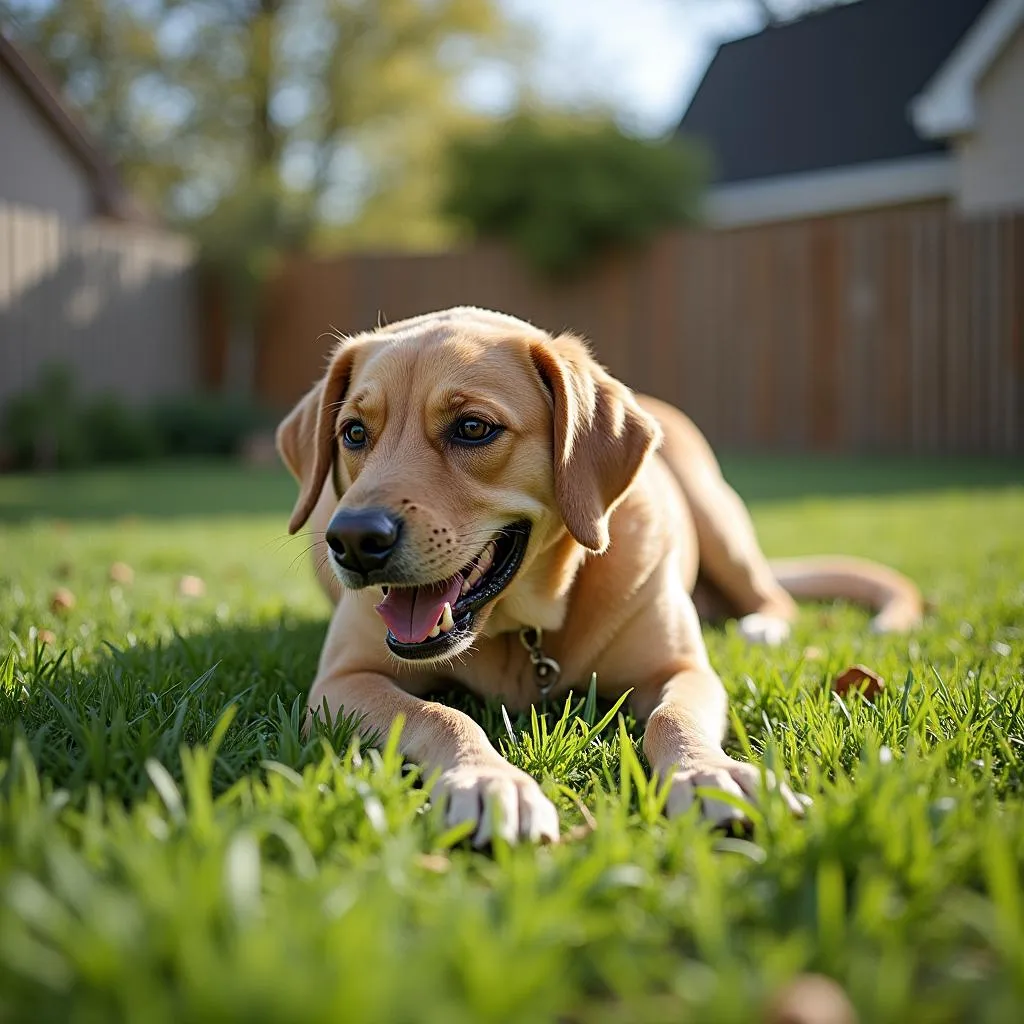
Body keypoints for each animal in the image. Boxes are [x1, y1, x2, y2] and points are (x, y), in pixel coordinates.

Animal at [276, 307, 925, 843]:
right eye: (354, 433)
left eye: (473, 428)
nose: (353, 540)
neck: (525, 625)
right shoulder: (341, 682)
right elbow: (441, 713)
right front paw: (488, 782)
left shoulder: (682, 669)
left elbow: (672, 717)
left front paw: (709, 774)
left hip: (719, 521)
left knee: (773, 599)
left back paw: (762, 626)